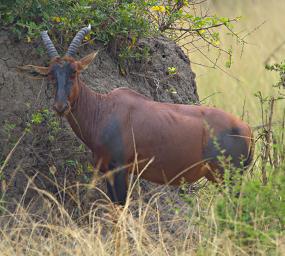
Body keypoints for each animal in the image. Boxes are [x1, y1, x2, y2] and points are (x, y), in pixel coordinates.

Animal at [21, 24, 253, 204]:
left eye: (74, 71)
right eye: (51, 74)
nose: (60, 106)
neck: (104, 109)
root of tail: (246, 129)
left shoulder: (119, 169)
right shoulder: (107, 171)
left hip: (229, 177)